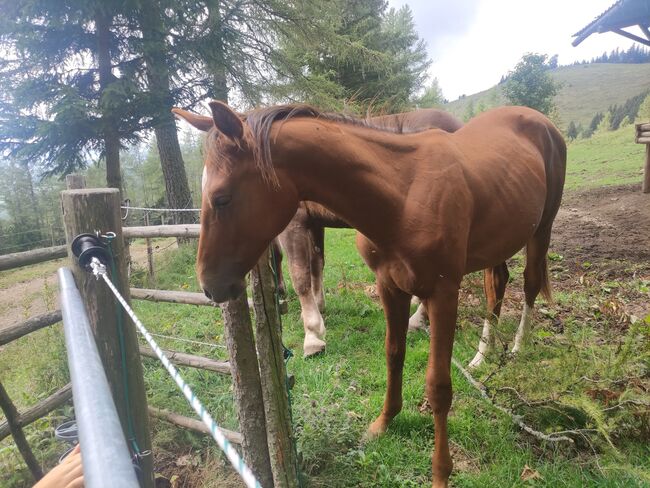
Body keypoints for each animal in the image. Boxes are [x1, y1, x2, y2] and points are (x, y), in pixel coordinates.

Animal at [278, 108, 460, 356]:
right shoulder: (313, 223)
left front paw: (312, 336)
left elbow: (300, 275)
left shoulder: (294, 223)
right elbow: (316, 265)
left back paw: (417, 320)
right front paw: (319, 308)